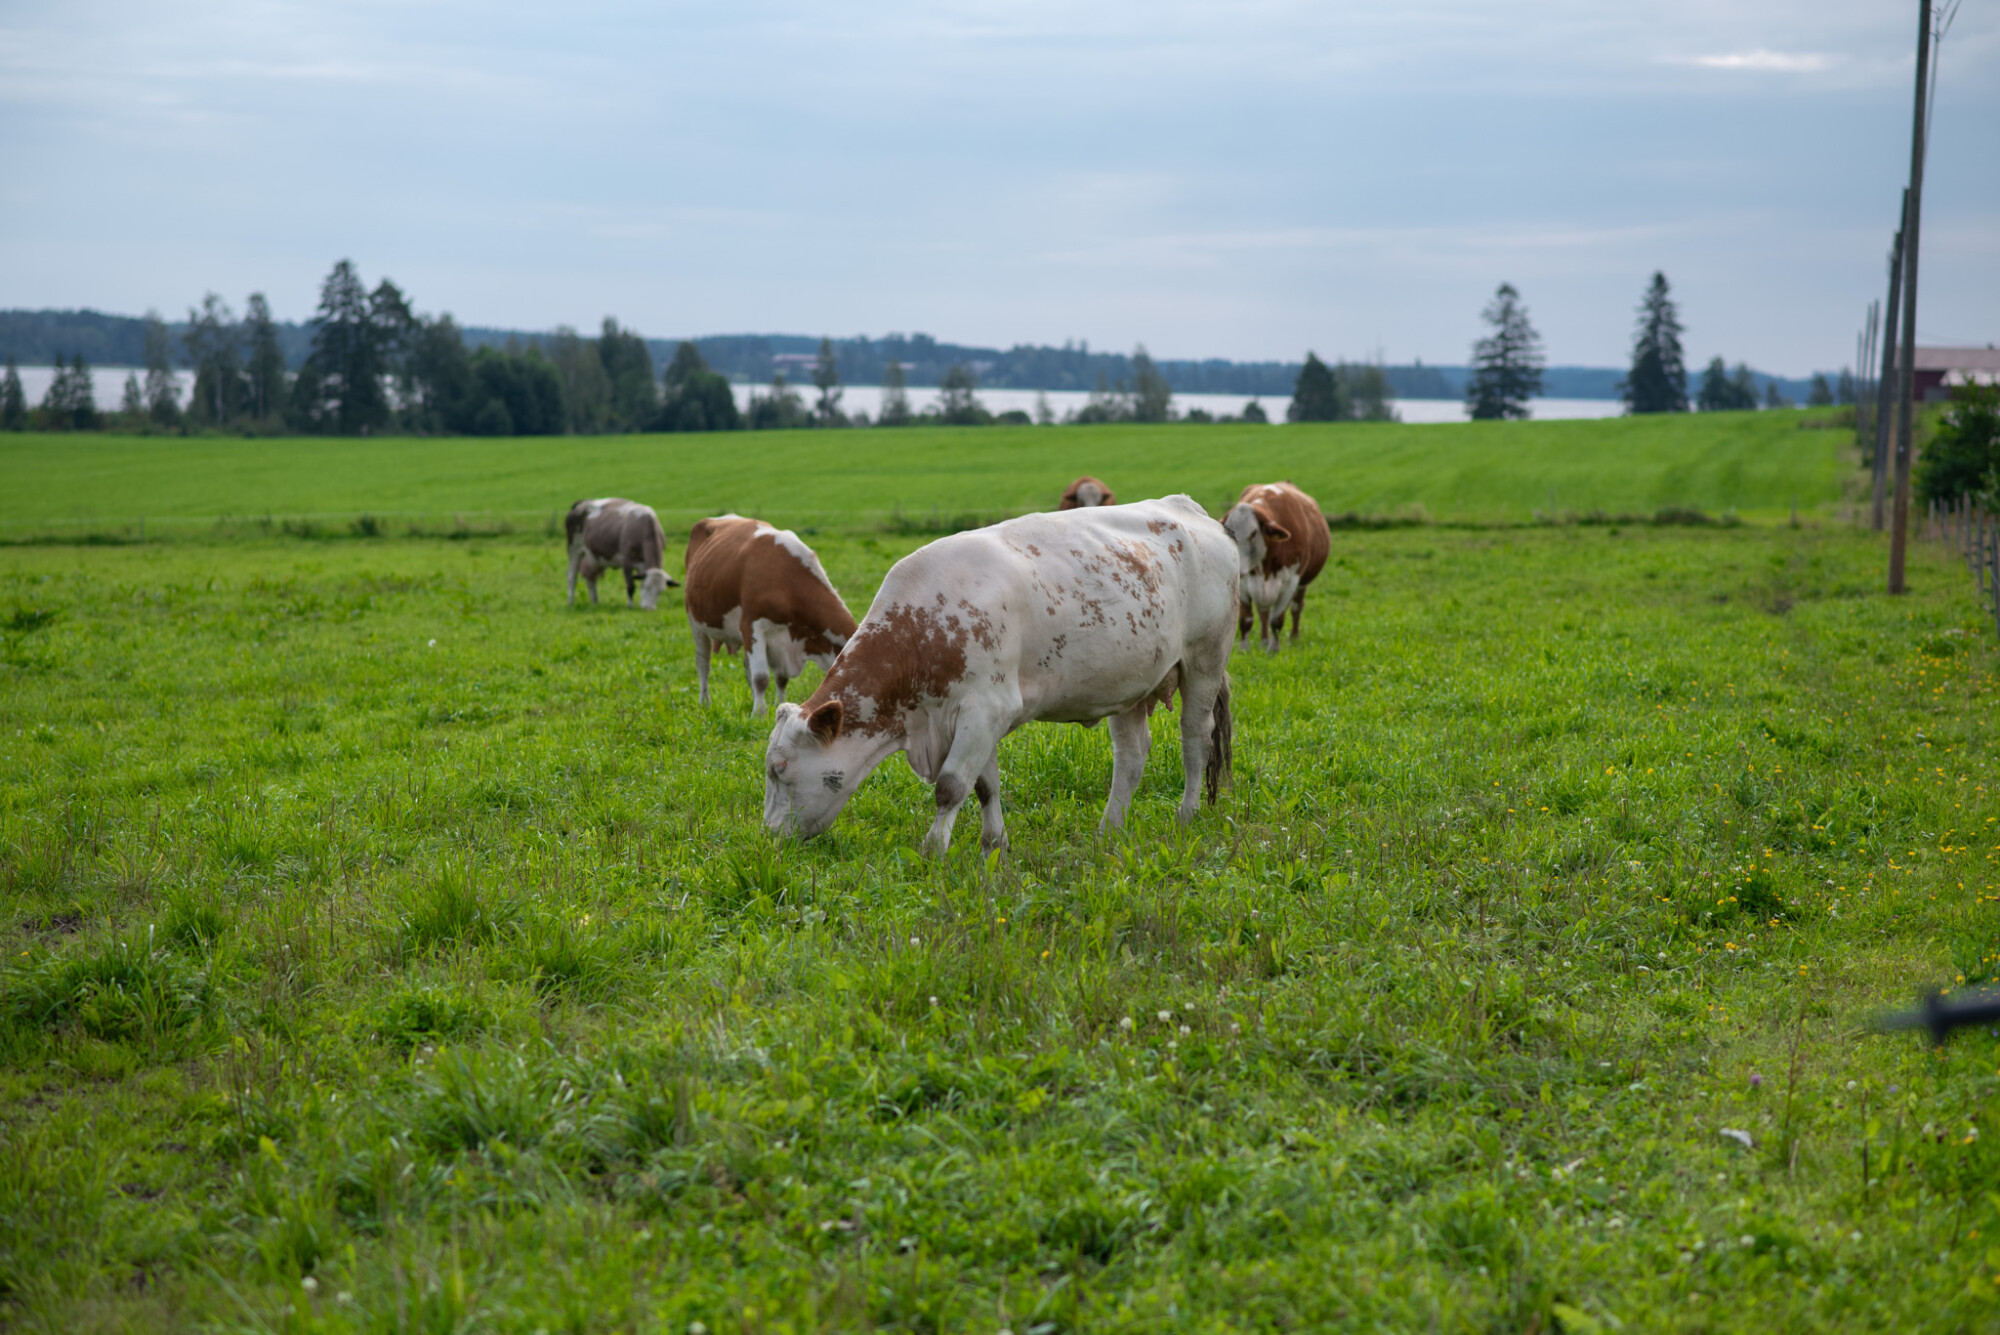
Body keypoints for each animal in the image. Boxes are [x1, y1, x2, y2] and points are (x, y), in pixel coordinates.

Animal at [684, 515, 856, 719]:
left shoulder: (782, 641)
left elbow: (781, 678)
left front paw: (778, 706)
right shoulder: (752, 626)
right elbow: (761, 677)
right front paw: (758, 713)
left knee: (746, 666)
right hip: (695, 621)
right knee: (703, 663)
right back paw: (705, 702)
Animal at [760, 493, 1232, 855]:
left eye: (779, 769)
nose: (768, 837)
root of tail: (1186, 506)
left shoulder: (985, 709)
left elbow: (951, 786)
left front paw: (933, 852)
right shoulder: (977, 718)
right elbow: (984, 786)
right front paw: (994, 846)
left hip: (1204, 662)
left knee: (1196, 740)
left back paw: (1186, 816)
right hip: (1130, 683)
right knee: (1131, 756)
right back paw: (1109, 830)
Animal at [1216, 481, 1328, 655]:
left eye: (1253, 533)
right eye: (1227, 531)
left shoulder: (1290, 582)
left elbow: (1277, 619)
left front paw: (1273, 649)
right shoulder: (1244, 583)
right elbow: (1246, 619)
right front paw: (1244, 649)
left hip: (1302, 584)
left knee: (1296, 608)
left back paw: (1294, 638)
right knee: (1264, 612)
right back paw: (1263, 641)